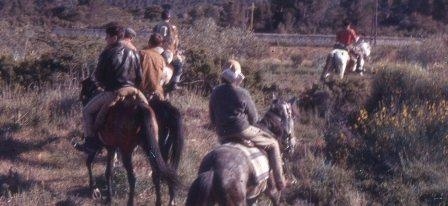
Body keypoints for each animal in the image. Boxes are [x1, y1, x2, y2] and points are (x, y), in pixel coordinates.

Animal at [80, 77, 184, 206]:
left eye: (83, 93)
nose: (82, 101)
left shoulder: (102, 145)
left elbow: (90, 162)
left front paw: (94, 190)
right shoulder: (111, 146)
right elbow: (108, 171)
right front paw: (107, 197)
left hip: (128, 150)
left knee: (133, 177)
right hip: (153, 150)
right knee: (161, 173)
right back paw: (166, 200)